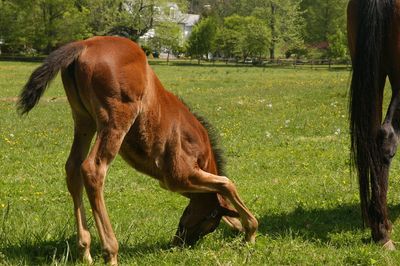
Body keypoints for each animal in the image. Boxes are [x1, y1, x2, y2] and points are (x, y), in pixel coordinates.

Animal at [17, 36, 258, 264]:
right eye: (210, 220)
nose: (179, 242)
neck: (200, 148)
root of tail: (85, 44)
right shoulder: (179, 176)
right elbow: (227, 183)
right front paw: (250, 232)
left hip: (84, 120)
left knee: (73, 168)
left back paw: (85, 250)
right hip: (116, 119)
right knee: (93, 169)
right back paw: (111, 252)